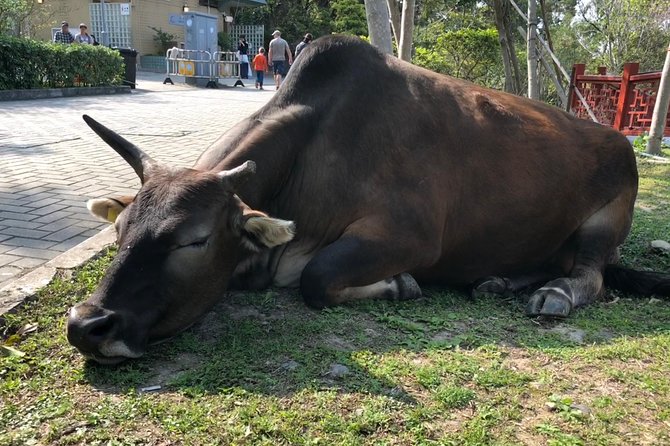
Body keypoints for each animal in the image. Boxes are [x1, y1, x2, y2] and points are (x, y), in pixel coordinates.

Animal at [67, 34, 670, 362]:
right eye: (119, 230)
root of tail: (617, 138)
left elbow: (315, 280)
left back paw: (554, 294)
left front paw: (399, 285)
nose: (87, 325)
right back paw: (497, 281)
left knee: (590, 276)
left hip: (605, 224)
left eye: (194, 240)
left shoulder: (410, 237)